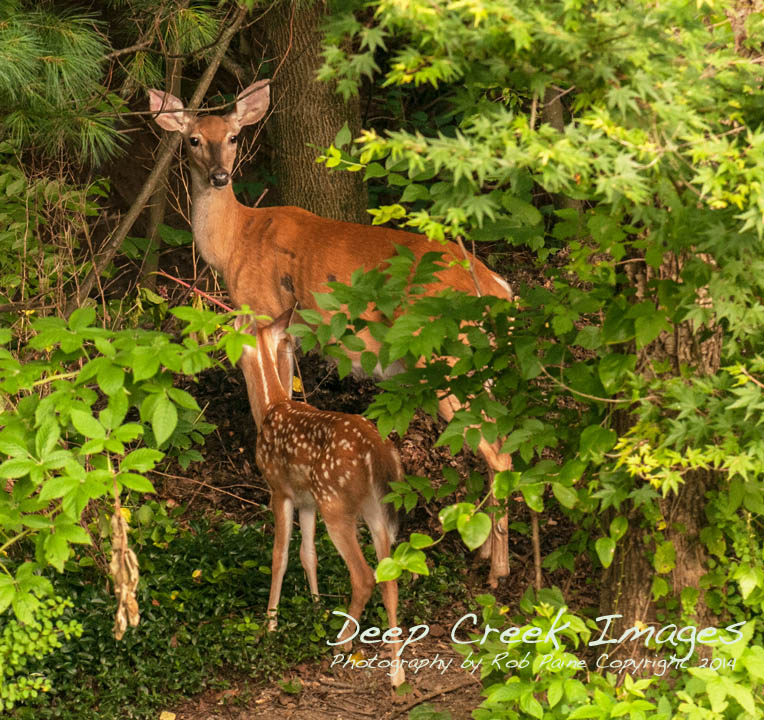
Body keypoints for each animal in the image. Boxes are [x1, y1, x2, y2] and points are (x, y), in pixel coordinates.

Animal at [148, 80, 514, 585]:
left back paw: (498, 571)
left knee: (498, 453)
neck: (235, 240)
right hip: (477, 365)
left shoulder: (267, 311)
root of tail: (499, 289)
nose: (221, 176)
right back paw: (484, 554)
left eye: (235, 137)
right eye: (194, 139)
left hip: (446, 357)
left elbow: (276, 394)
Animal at [235, 311, 406, 688]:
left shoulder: (280, 489)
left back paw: (343, 642)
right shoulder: (307, 499)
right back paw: (396, 672)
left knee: (364, 576)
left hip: (336, 502)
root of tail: (378, 453)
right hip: (373, 507)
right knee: (389, 576)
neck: (270, 407)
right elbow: (308, 554)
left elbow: (280, 556)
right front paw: (315, 607)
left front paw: (270, 625)